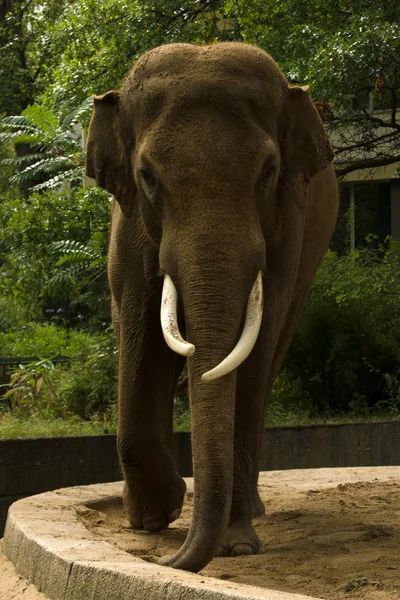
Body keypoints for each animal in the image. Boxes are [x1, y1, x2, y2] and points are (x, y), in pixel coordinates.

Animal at [86, 42, 340, 572]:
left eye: (268, 171)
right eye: (146, 175)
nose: (166, 562)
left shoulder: (288, 227)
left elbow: (254, 347)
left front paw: (235, 546)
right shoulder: (129, 223)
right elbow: (139, 332)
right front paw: (153, 519)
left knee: (272, 355)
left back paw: (254, 512)